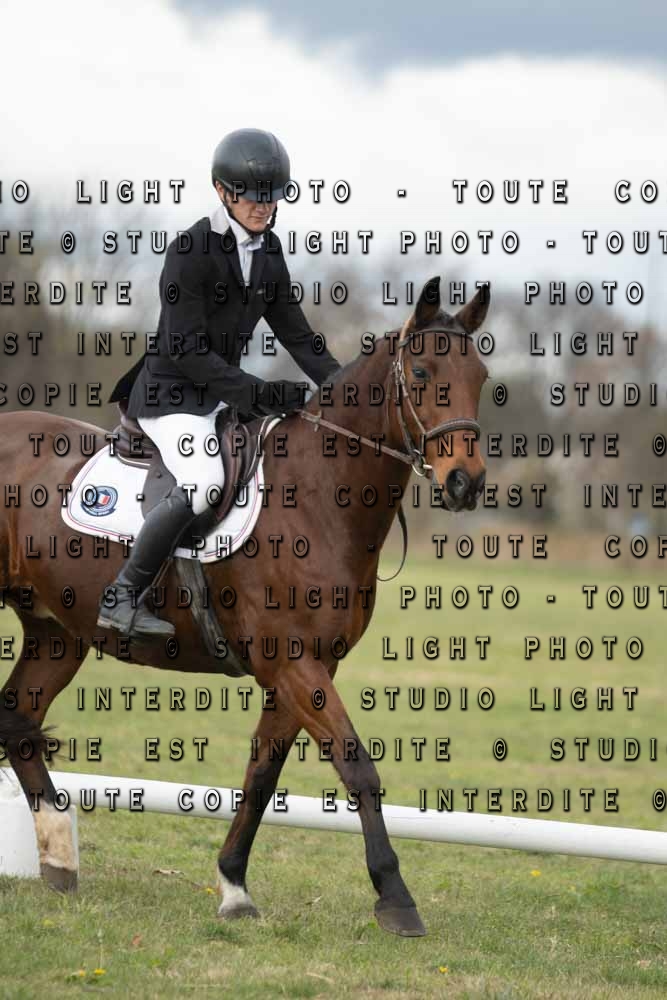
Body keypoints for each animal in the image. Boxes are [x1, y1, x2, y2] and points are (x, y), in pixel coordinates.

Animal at [0, 276, 489, 937]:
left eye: (482, 376)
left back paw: (59, 858)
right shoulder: (293, 664)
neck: (317, 500)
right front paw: (395, 896)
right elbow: (357, 766)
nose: (467, 482)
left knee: (16, 718)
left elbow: (262, 775)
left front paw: (233, 886)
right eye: (419, 371)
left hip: (56, 632)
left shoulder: (306, 668)